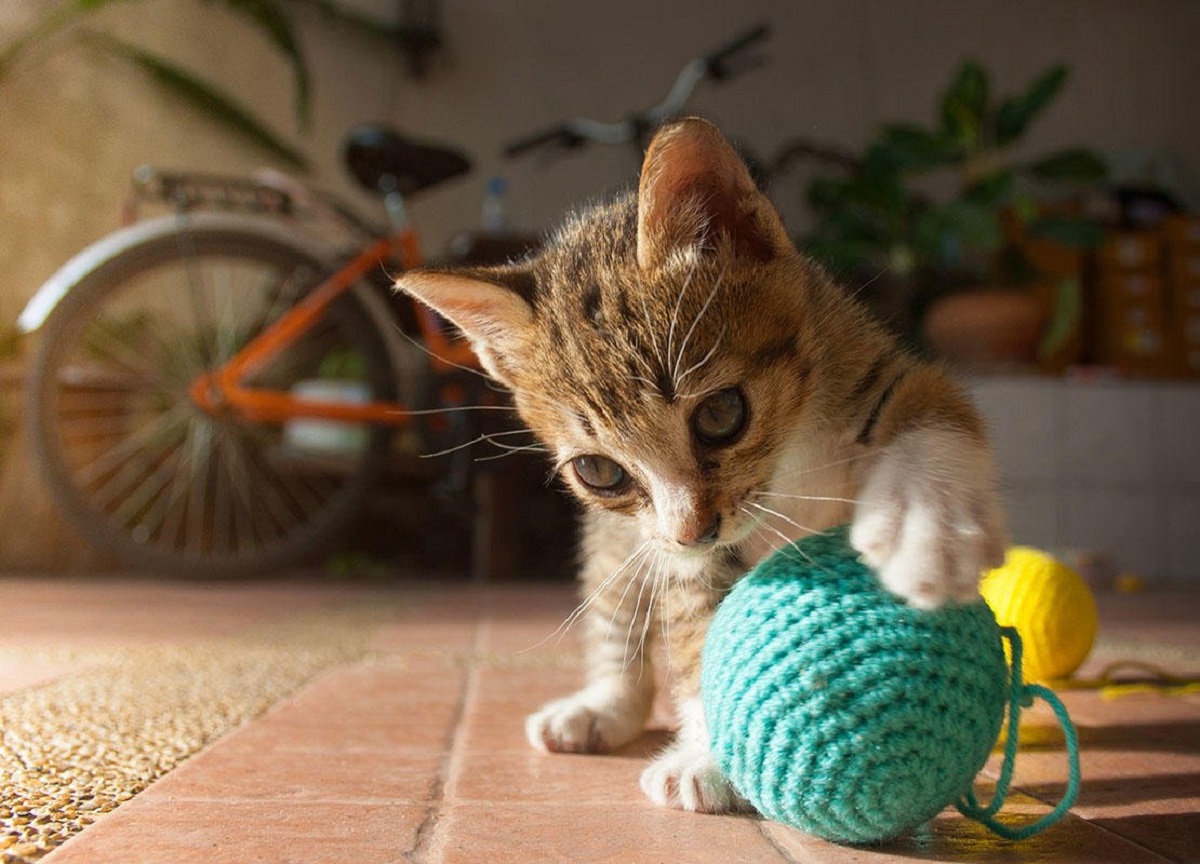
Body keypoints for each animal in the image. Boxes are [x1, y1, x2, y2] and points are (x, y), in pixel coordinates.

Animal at [398, 118, 1008, 811]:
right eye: (599, 472)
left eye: (720, 413)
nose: (694, 531)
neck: (788, 460)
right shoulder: (678, 552)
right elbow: (698, 629)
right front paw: (715, 755)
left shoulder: (876, 367)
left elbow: (931, 414)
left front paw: (925, 532)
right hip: (623, 545)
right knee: (616, 611)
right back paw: (598, 708)